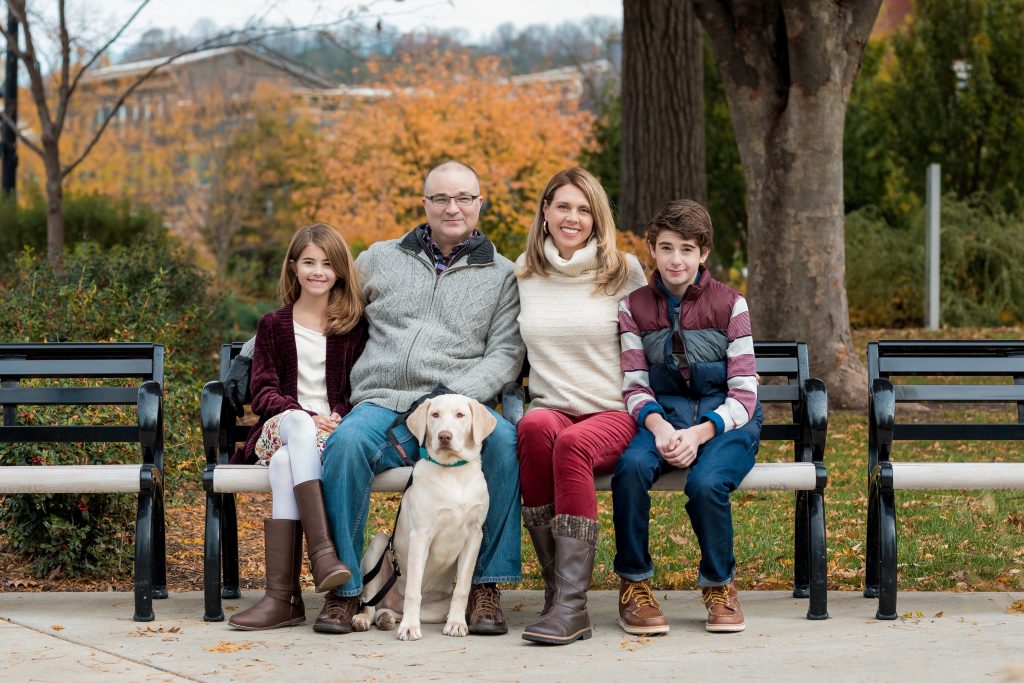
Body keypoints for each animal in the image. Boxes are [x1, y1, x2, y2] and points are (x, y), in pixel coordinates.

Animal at [350, 395, 497, 643]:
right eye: (435, 415)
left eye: (460, 415)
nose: (444, 436)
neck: (452, 473)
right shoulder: (420, 536)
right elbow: (413, 589)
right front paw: (410, 628)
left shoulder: (474, 536)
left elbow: (463, 588)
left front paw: (457, 623)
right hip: (378, 547)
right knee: (370, 602)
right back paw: (365, 619)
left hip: (435, 610)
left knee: (390, 610)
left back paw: (387, 618)